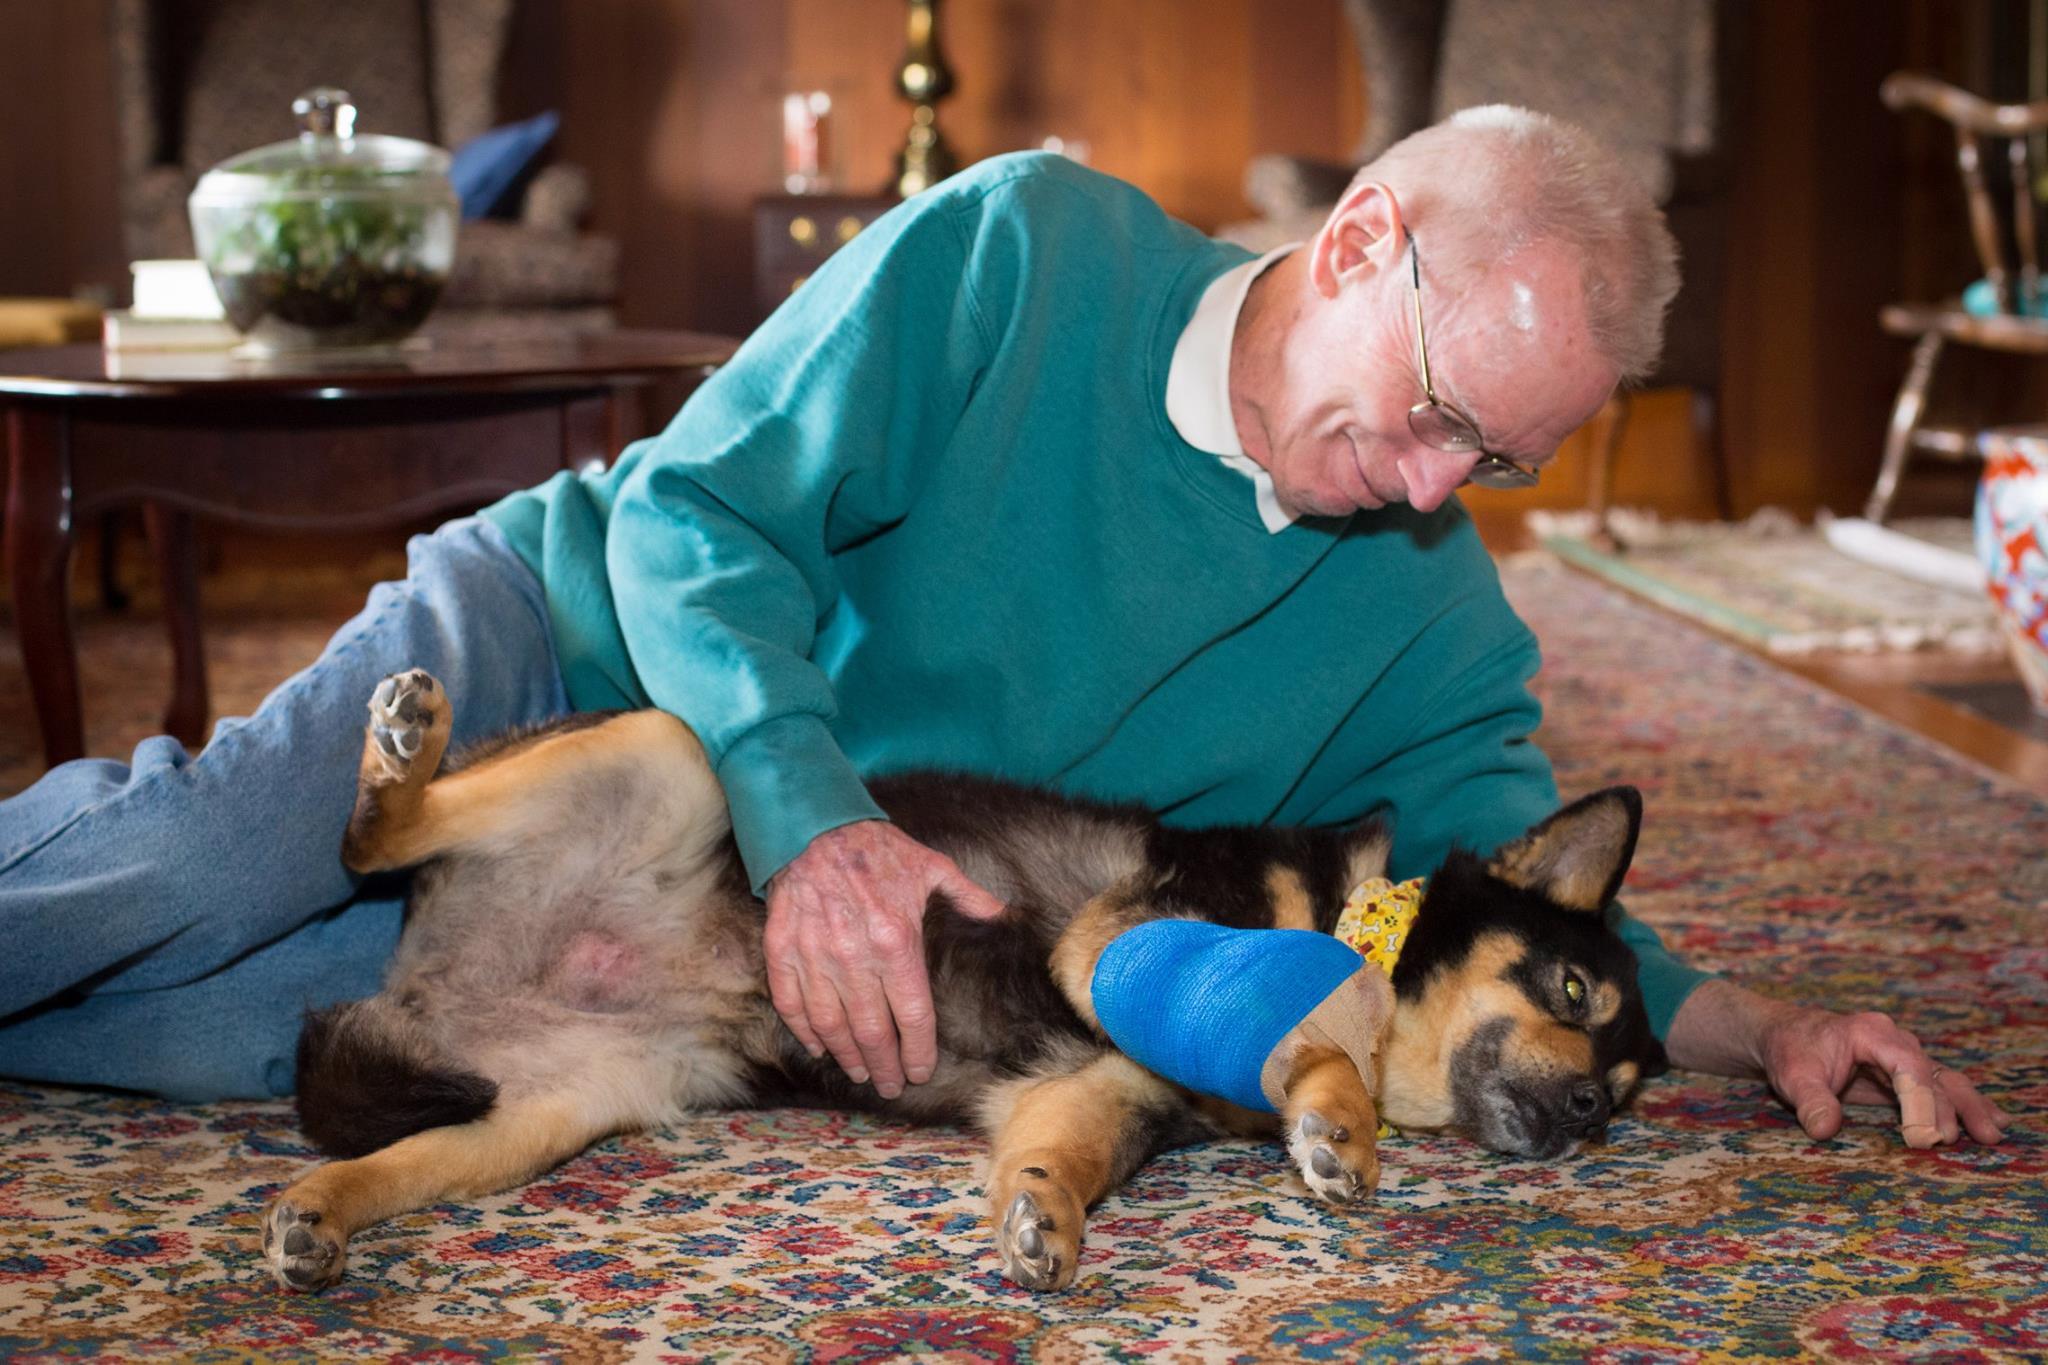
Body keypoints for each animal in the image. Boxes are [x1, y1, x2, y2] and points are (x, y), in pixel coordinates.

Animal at [264, 671, 1662, 1293]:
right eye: (1571, 995)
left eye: (1627, 1089)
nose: (1587, 1113)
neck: (1353, 920)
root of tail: (422, 965)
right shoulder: (1123, 939)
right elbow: (1302, 1027)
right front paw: (1338, 1117)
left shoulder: (1099, 1091)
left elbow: (1061, 1162)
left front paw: (1044, 1219)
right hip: (666, 752)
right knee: (363, 841)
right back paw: (401, 754)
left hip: (548, 1112)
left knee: (389, 1162)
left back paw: (315, 1215)